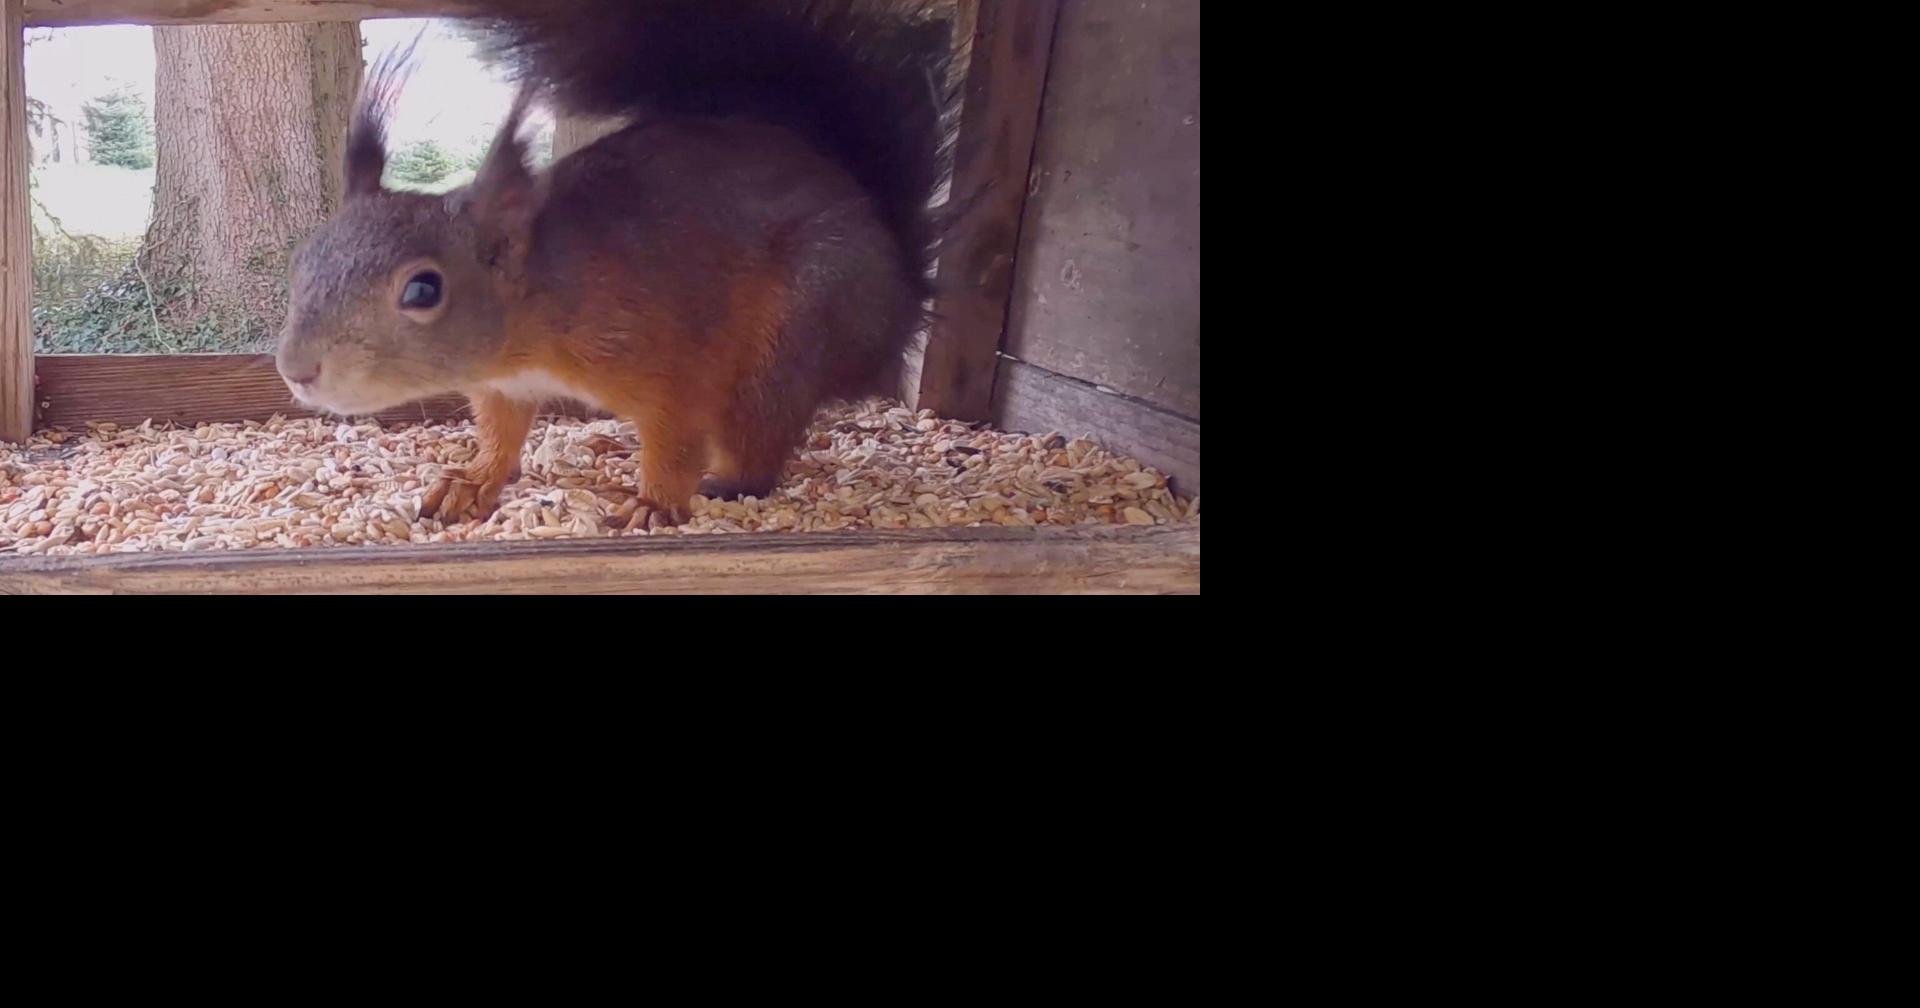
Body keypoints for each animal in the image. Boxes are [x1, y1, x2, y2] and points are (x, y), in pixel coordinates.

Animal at [275, 0, 960, 523]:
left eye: (423, 290)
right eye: (303, 258)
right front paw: (470, 482)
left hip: (791, 336)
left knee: (757, 446)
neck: (538, 306)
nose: (296, 370)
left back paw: (721, 481)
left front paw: (654, 504)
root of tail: (901, 291)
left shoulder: (665, 361)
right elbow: (500, 437)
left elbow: (673, 438)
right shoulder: (502, 388)